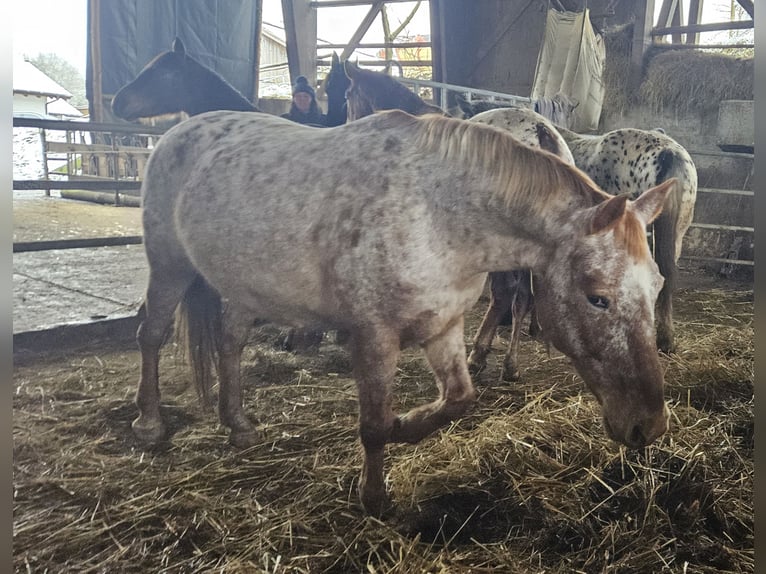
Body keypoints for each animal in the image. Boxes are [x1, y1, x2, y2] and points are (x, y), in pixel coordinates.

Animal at [135, 108, 676, 516]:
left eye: (656, 287)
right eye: (597, 297)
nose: (648, 426)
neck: (438, 215)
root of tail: (175, 132)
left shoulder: (444, 325)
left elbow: (459, 399)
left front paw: (406, 426)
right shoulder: (374, 336)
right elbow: (372, 424)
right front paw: (374, 498)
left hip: (244, 286)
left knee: (230, 342)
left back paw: (237, 423)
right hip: (169, 266)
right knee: (152, 334)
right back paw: (150, 423)